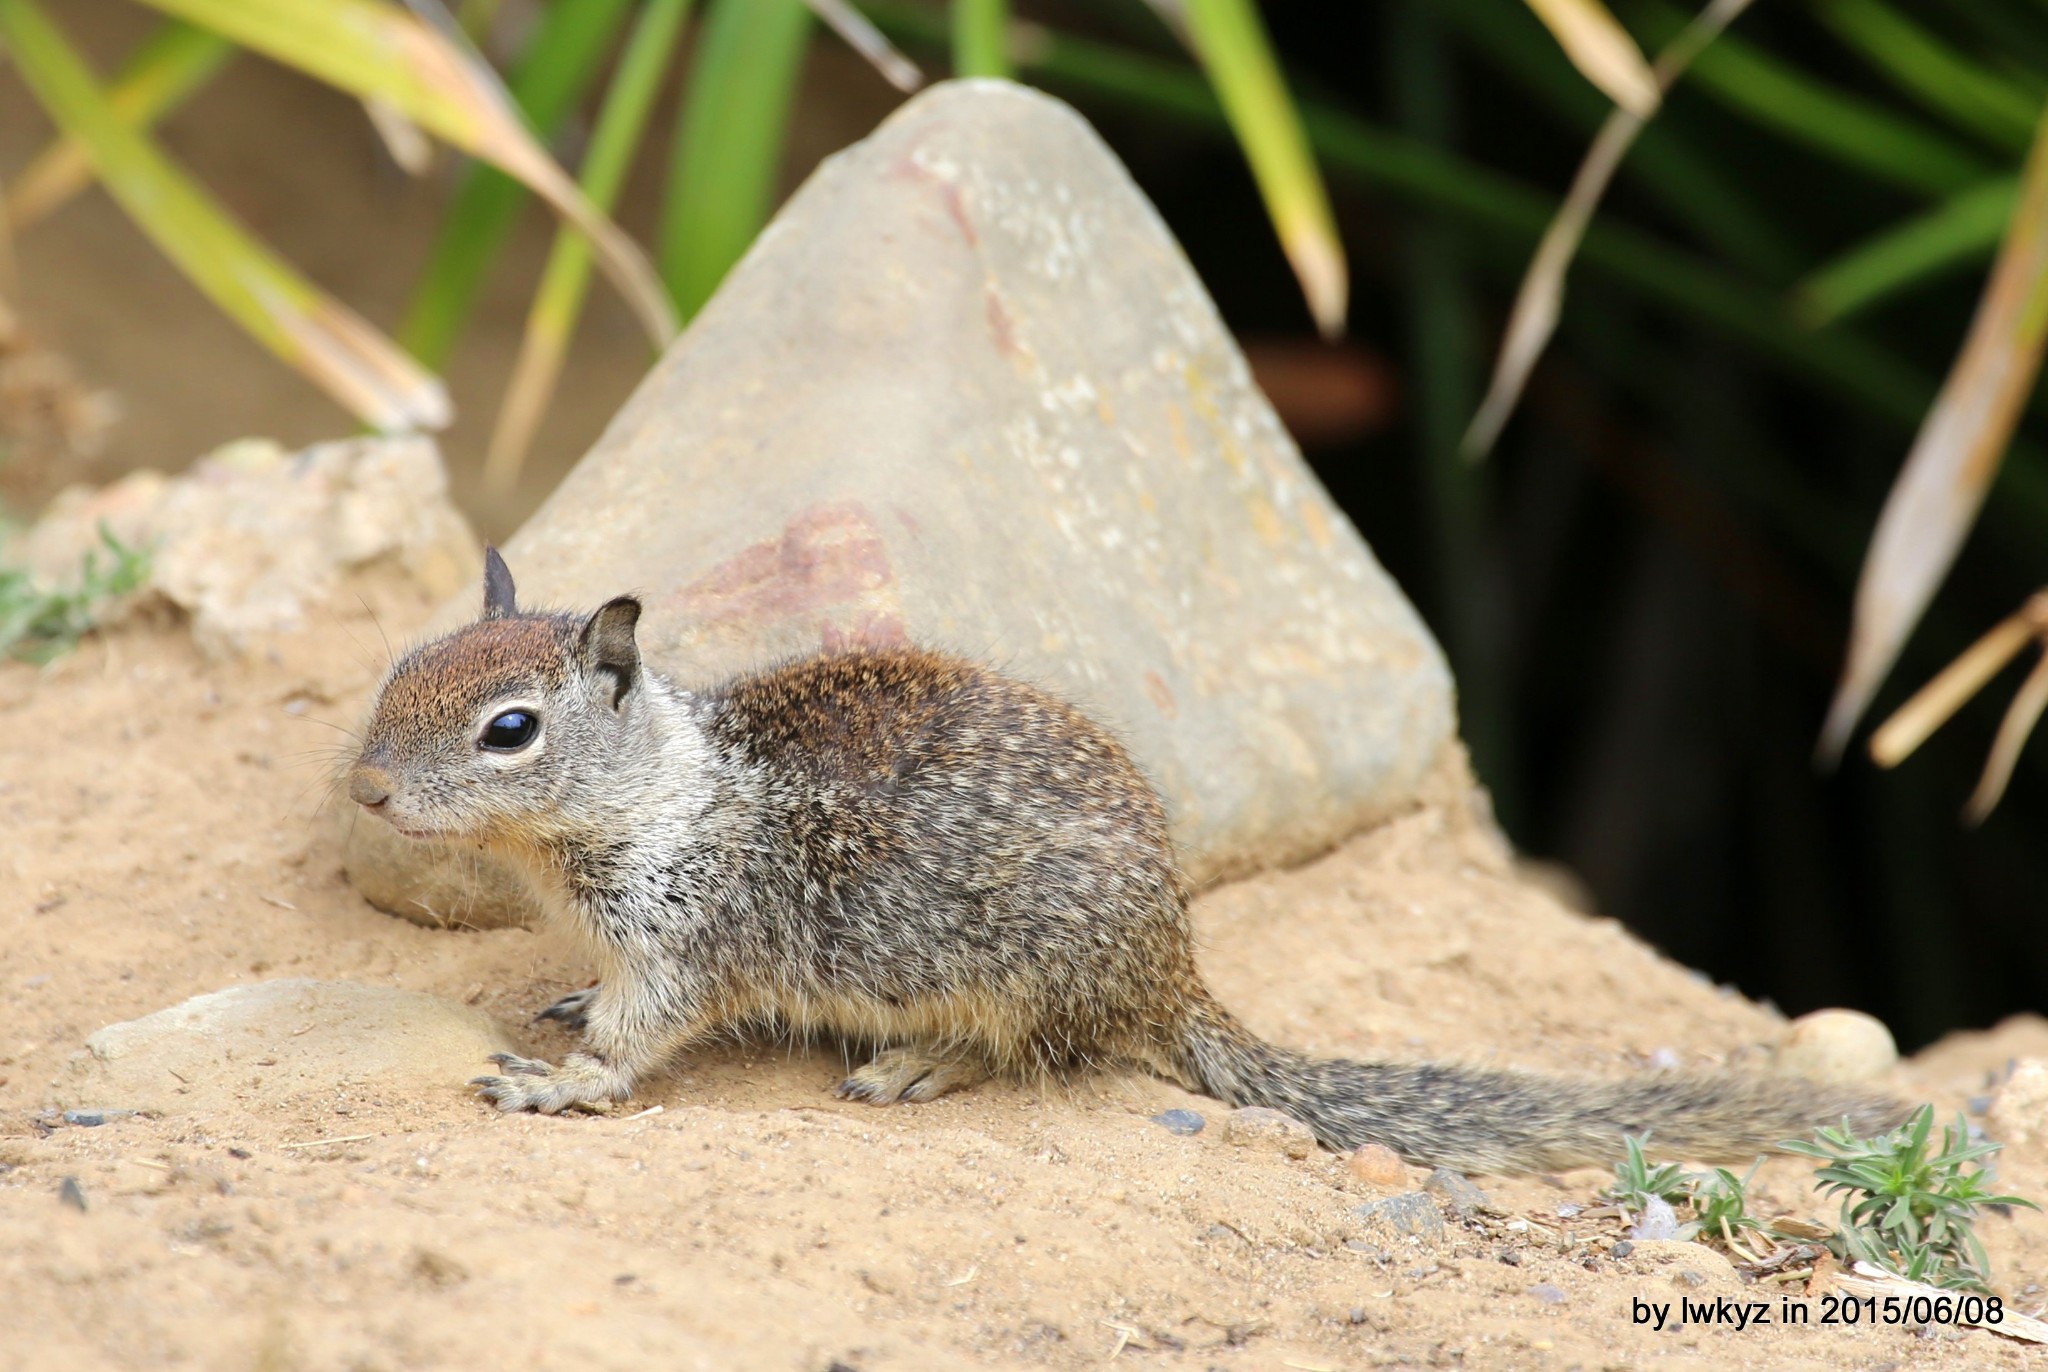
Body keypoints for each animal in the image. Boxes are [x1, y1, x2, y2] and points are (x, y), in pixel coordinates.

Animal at [344, 552, 1892, 1179]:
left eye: (508, 729)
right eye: (402, 666)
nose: (361, 788)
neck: (664, 787)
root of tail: (1175, 971)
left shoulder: (685, 937)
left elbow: (637, 1042)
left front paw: (562, 1082)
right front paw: (556, 1006)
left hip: (1017, 980)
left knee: (1029, 1051)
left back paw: (916, 1067)